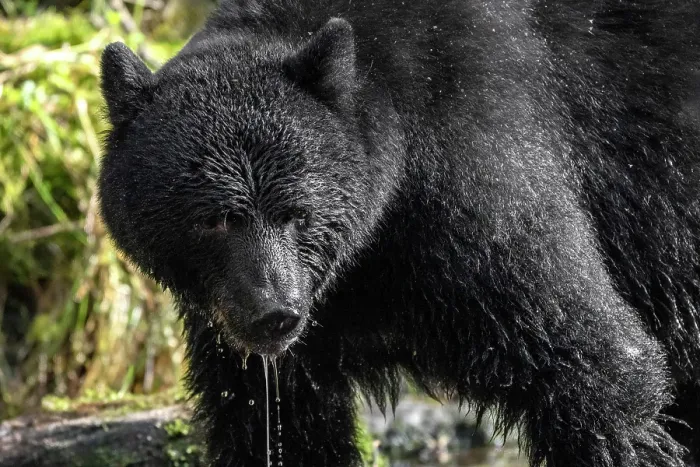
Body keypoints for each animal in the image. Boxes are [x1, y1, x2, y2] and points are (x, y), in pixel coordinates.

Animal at [97, 0, 700, 465]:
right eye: (216, 219)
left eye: (298, 213)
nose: (274, 314)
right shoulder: (244, 329)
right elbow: (273, 421)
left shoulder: (477, 172)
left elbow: (593, 356)